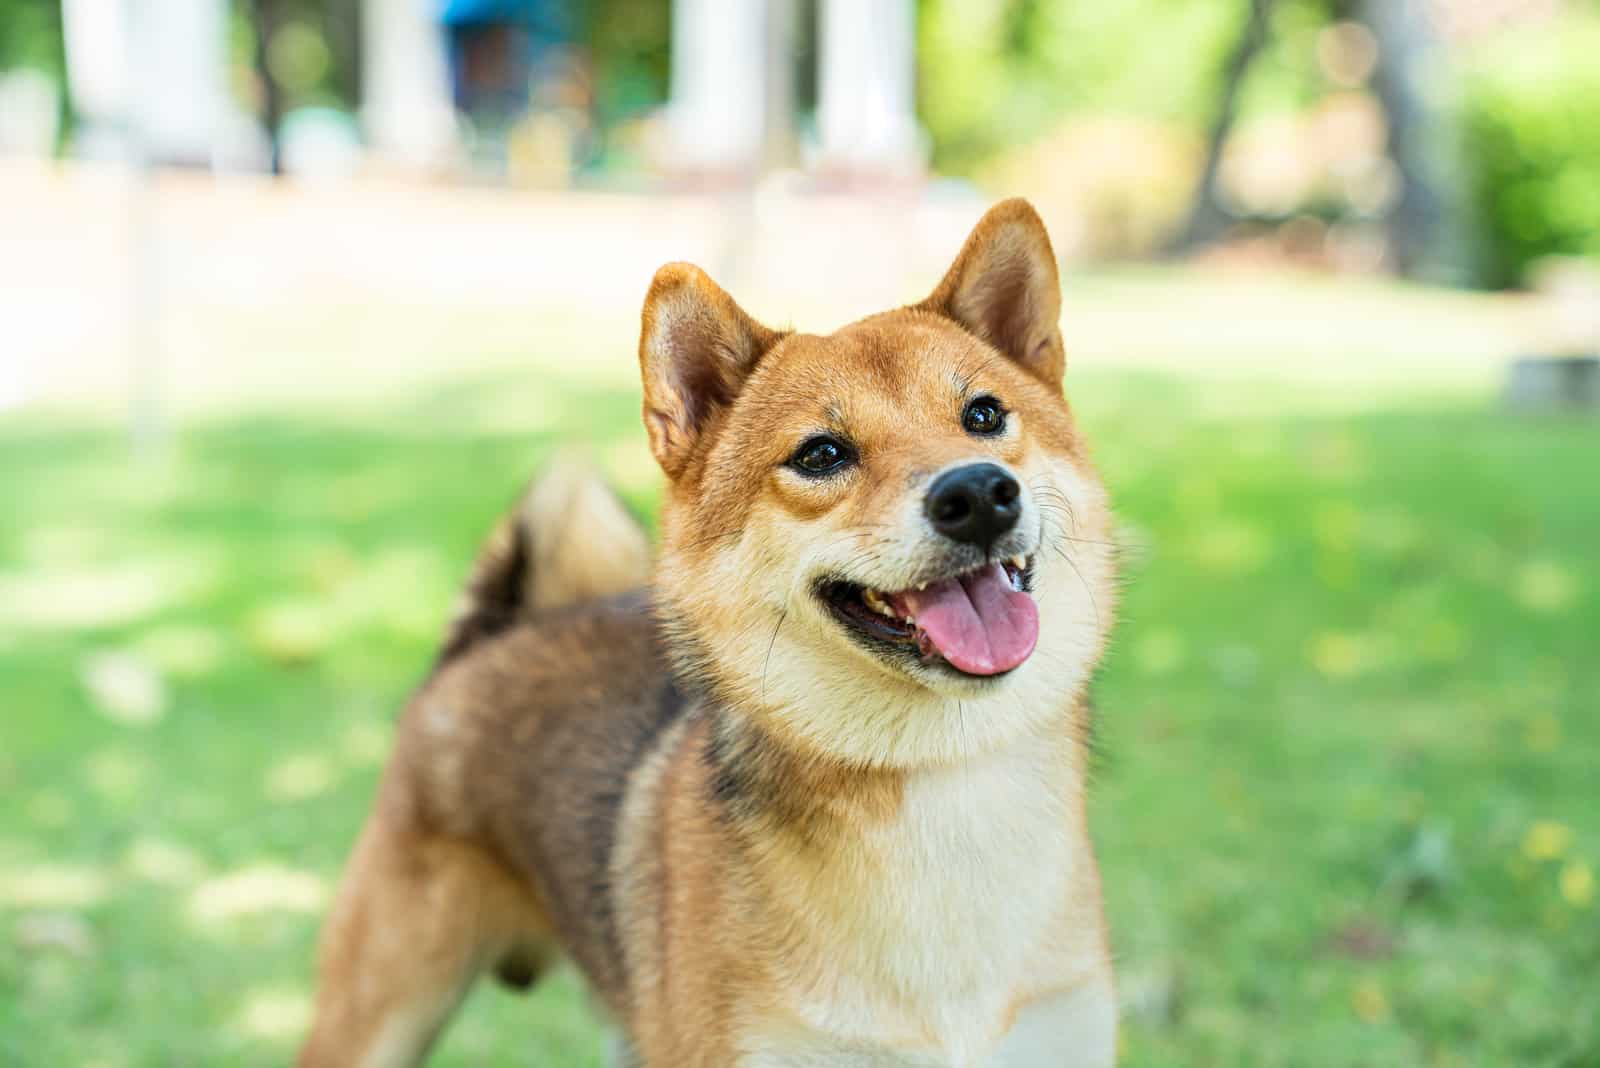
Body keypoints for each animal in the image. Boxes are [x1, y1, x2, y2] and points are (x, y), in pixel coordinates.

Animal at [302, 199, 1126, 1068]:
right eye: (822, 453)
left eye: (984, 415)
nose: (978, 494)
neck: (944, 785)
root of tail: (492, 635)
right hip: (376, 1013)